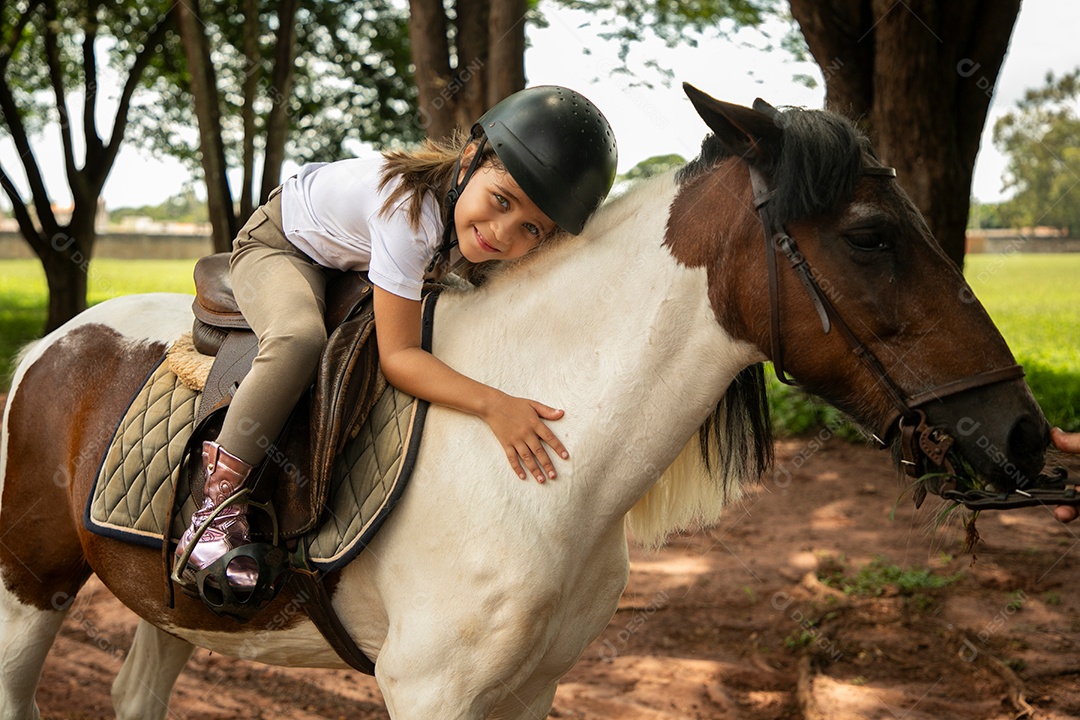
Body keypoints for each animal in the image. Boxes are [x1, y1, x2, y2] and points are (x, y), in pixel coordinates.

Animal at [0, 85, 1049, 720]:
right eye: (871, 236)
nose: (1025, 435)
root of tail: (50, 346)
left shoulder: (532, 687)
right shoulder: (430, 690)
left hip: (164, 606)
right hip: (29, 587)